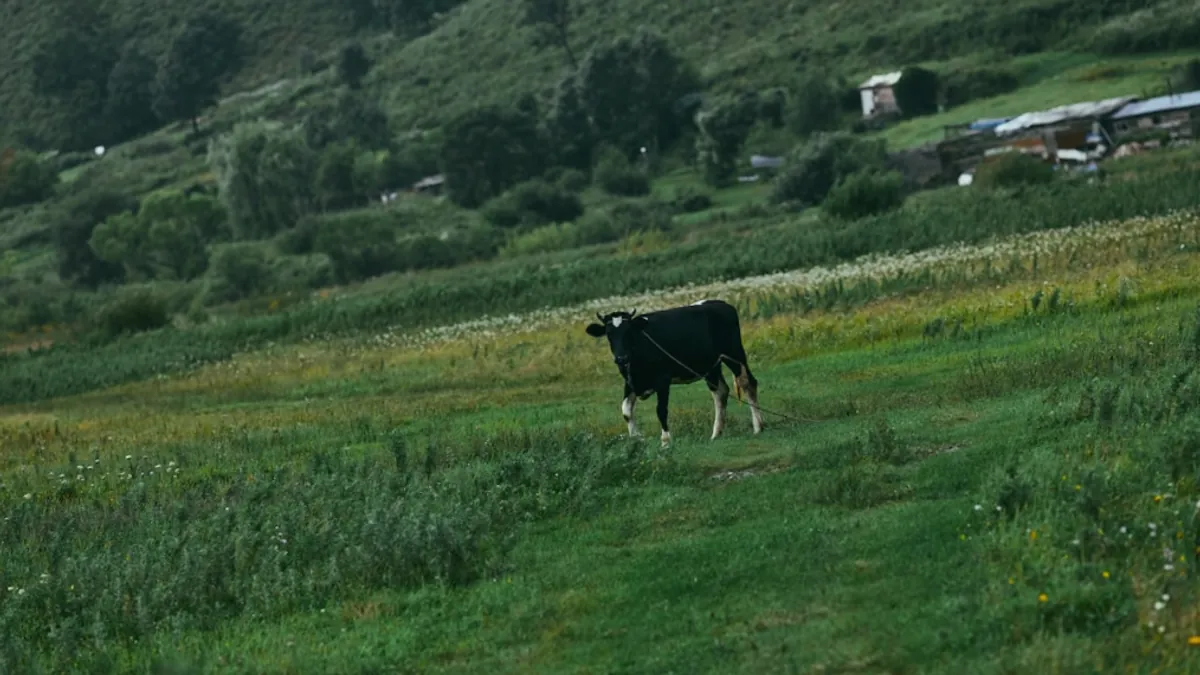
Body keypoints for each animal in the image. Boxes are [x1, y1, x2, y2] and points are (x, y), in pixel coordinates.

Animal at [584, 299, 763, 446]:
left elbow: (661, 410)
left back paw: (758, 426)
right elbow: (626, 411)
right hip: (711, 365)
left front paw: (665, 441)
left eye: (628, 332)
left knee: (748, 383)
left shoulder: (663, 380)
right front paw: (637, 439)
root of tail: (721, 304)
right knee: (720, 392)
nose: (621, 358)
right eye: (609, 334)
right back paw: (716, 434)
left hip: (734, 354)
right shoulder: (631, 383)